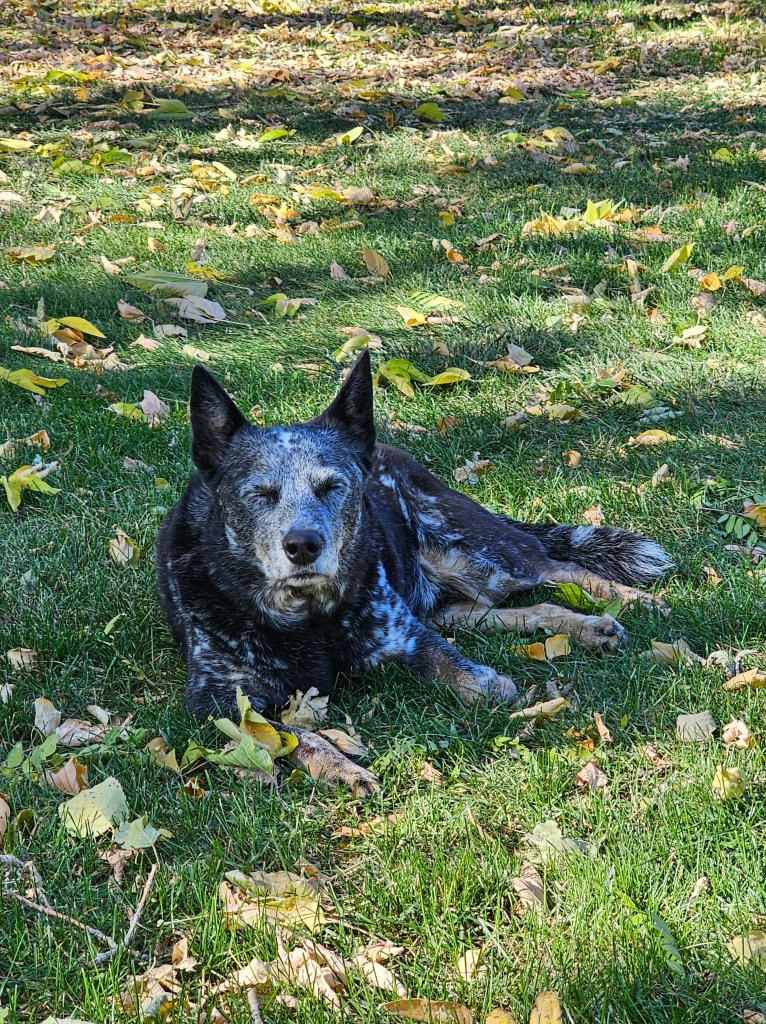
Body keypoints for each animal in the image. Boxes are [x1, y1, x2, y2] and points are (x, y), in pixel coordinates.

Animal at [156, 350, 671, 793]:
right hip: (448, 599)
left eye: (333, 486)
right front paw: (342, 770)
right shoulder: (218, 703)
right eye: (260, 493)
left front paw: (494, 687)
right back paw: (592, 626)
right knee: (521, 608)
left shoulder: (403, 634)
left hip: (475, 556)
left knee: (558, 568)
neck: (308, 621)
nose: (303, 545)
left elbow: (457, 667)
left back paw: (630, 602)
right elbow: (295, 735)